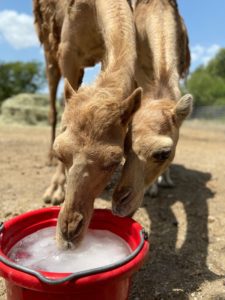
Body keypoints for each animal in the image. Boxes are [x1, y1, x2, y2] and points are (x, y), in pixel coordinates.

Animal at [33, 0, 141, 248]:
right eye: (61, 152)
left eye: (114, 161)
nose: (69, 231)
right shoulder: (67, 51)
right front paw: (55, 189)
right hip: (49, 50)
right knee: (53, 106)